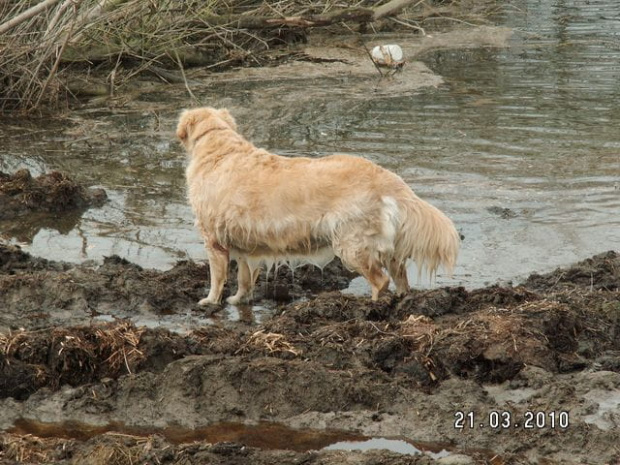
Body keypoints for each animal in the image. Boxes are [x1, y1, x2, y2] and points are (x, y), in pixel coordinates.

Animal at [177, 107, 458, 306]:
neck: (219, 147)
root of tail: (387, 177)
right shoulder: (246, 245)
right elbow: (244, 278)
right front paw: (238, 299)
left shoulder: (213, 240)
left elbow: (217, 277)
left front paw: (210, 300)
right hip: (386, 248)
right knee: (400, 278)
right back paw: (401, 302)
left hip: (351, 244)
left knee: (380, 280)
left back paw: (372, 307)